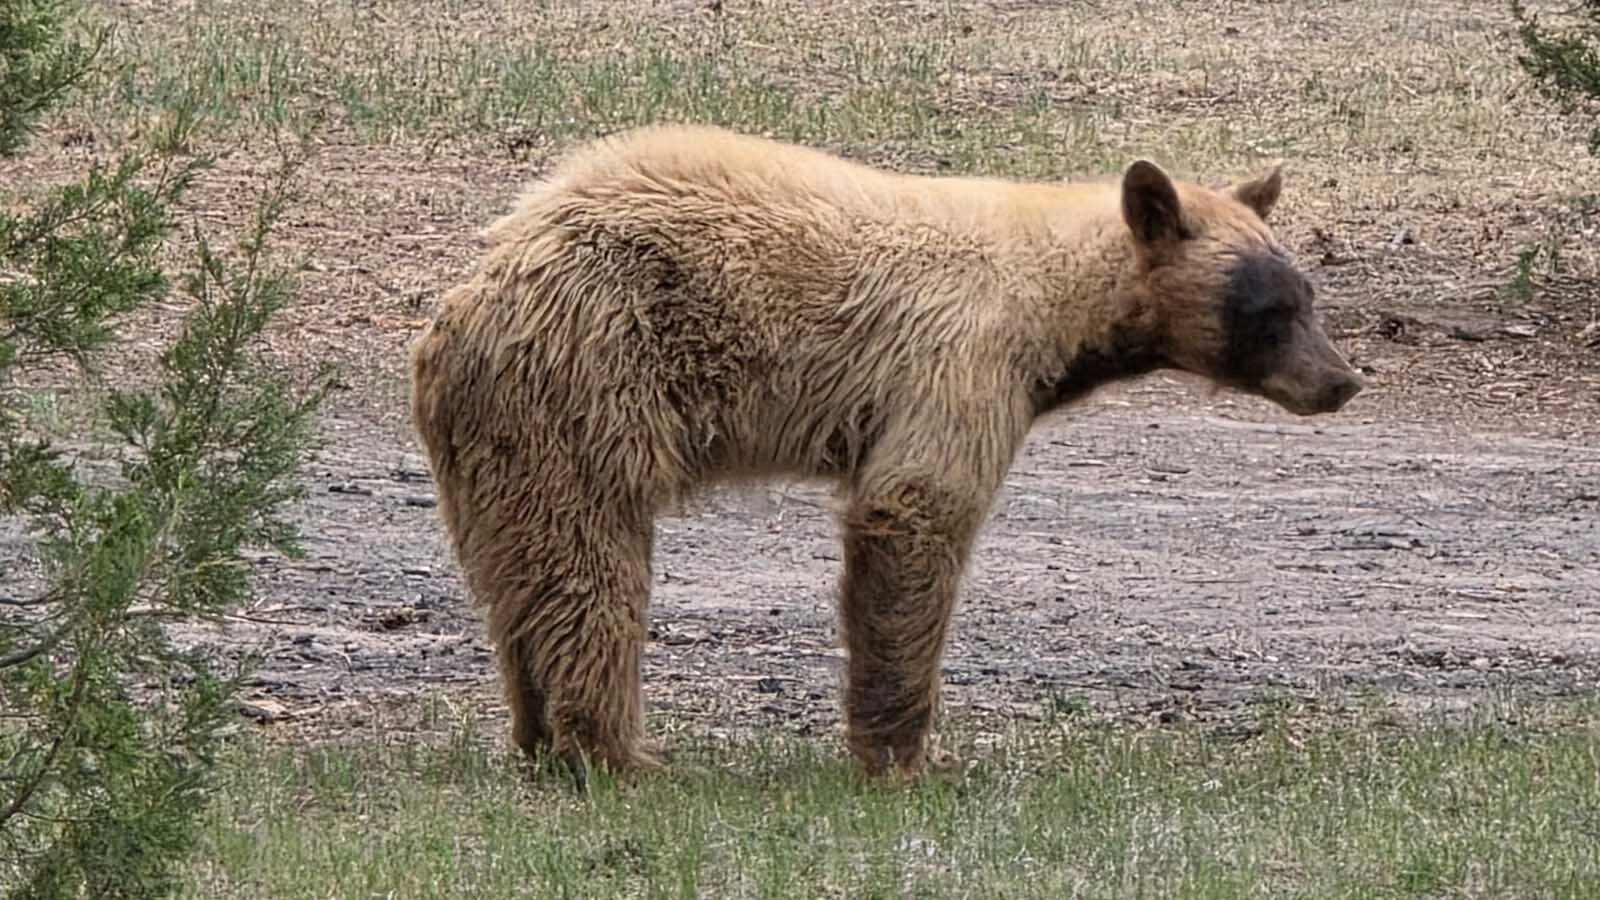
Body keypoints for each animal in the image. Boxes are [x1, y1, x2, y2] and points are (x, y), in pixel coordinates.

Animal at [408, 123, 1364, 782]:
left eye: (1308, 294)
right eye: (1271, 309)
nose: (1343, 380)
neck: (1056, 306)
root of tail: (465, 303)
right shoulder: (960, 366)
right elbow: (914, 518)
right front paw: (908, 756)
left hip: (500, 443)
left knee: (521, 576)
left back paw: (539, 735)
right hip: (589, 387)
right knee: (591, 570)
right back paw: (615, 749)